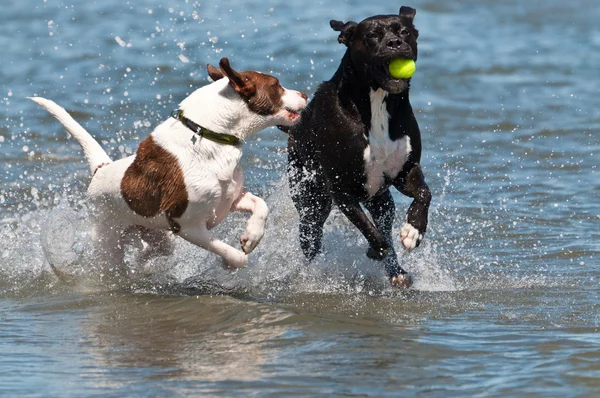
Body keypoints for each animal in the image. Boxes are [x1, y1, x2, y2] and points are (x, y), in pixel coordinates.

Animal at [30, 56, 308, 274]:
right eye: (276, 85)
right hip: (108, 240)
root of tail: (101, 169)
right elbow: (235, 255)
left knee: (156, 251)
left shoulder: (230, 198)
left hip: (156, 235)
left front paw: (252, 236)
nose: (305, 94)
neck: (209, 134)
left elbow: (261, 205)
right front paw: (231, 262)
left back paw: (143, 265)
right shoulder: (187, 225)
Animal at [288, 5, 432, 286]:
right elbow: (370, 231)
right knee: (312, 238)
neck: (378, 103)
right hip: (311, 204)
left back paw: (397, 272)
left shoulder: (406, 171)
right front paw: (376, 248)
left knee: (384, 220)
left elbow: (424, 193)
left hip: (381, 201)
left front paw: (414, 230)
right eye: (372, 36)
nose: (394, 43)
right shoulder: (342, 189)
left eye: (404, 32)